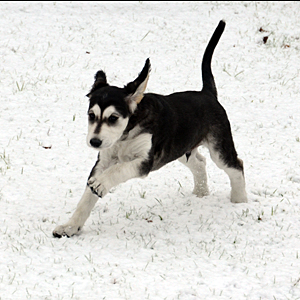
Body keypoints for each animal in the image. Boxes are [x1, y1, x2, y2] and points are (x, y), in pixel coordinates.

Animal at [52, 19, 247, 238]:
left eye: (113, 118)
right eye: (91, 116)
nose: (94, 142)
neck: (124, 136)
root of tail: (207, 93)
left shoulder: (144, 161)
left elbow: (118, 169)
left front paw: (101, 184)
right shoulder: (103, 161)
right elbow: (86, 197)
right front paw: (70, 227)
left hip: (218, 147)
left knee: (236, 165)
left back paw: (239, 200)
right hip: (180, 149)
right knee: (199, 162)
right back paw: (201, 193)